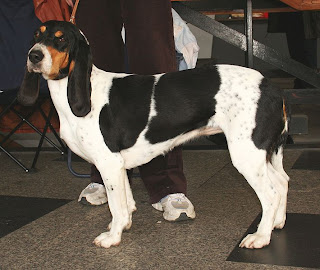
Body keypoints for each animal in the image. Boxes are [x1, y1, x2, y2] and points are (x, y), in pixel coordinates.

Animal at [18, 20, 292, 249]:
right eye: (37, 35)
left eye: (61, 39)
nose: (34, 55)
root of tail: (271, 88)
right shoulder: (119, 165)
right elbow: (126, 203)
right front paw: (122, 226)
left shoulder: (108, 163)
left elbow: (116, 207)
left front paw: (112, 237)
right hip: (261, 154)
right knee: (282, 182)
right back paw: (277, 223)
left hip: (246, 155)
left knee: (271, 194)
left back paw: (261, 237)